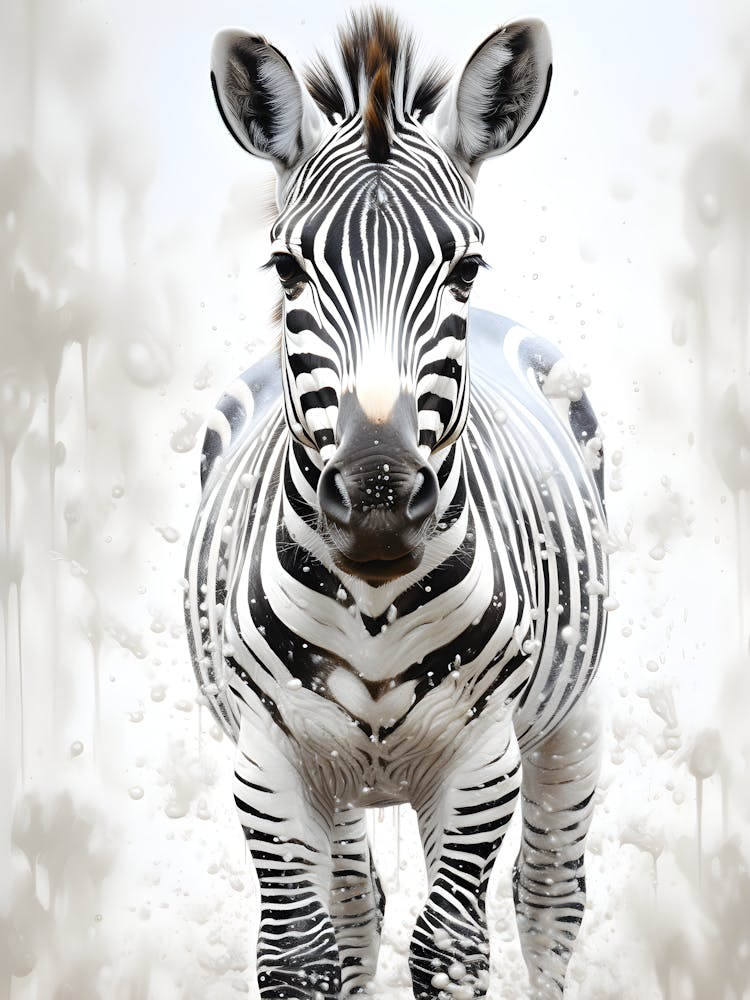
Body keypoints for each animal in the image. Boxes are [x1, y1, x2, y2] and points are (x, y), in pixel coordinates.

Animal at [185, 8, 608, 999]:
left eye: (466, 267)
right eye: (286, 268)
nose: (377, 498)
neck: (374, 597)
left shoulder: (481, 759)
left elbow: (451, 948)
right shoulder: (269, 764)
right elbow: (299, 956)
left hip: (573, 720)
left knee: (550, 894)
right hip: (337, 779)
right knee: (353, 909)